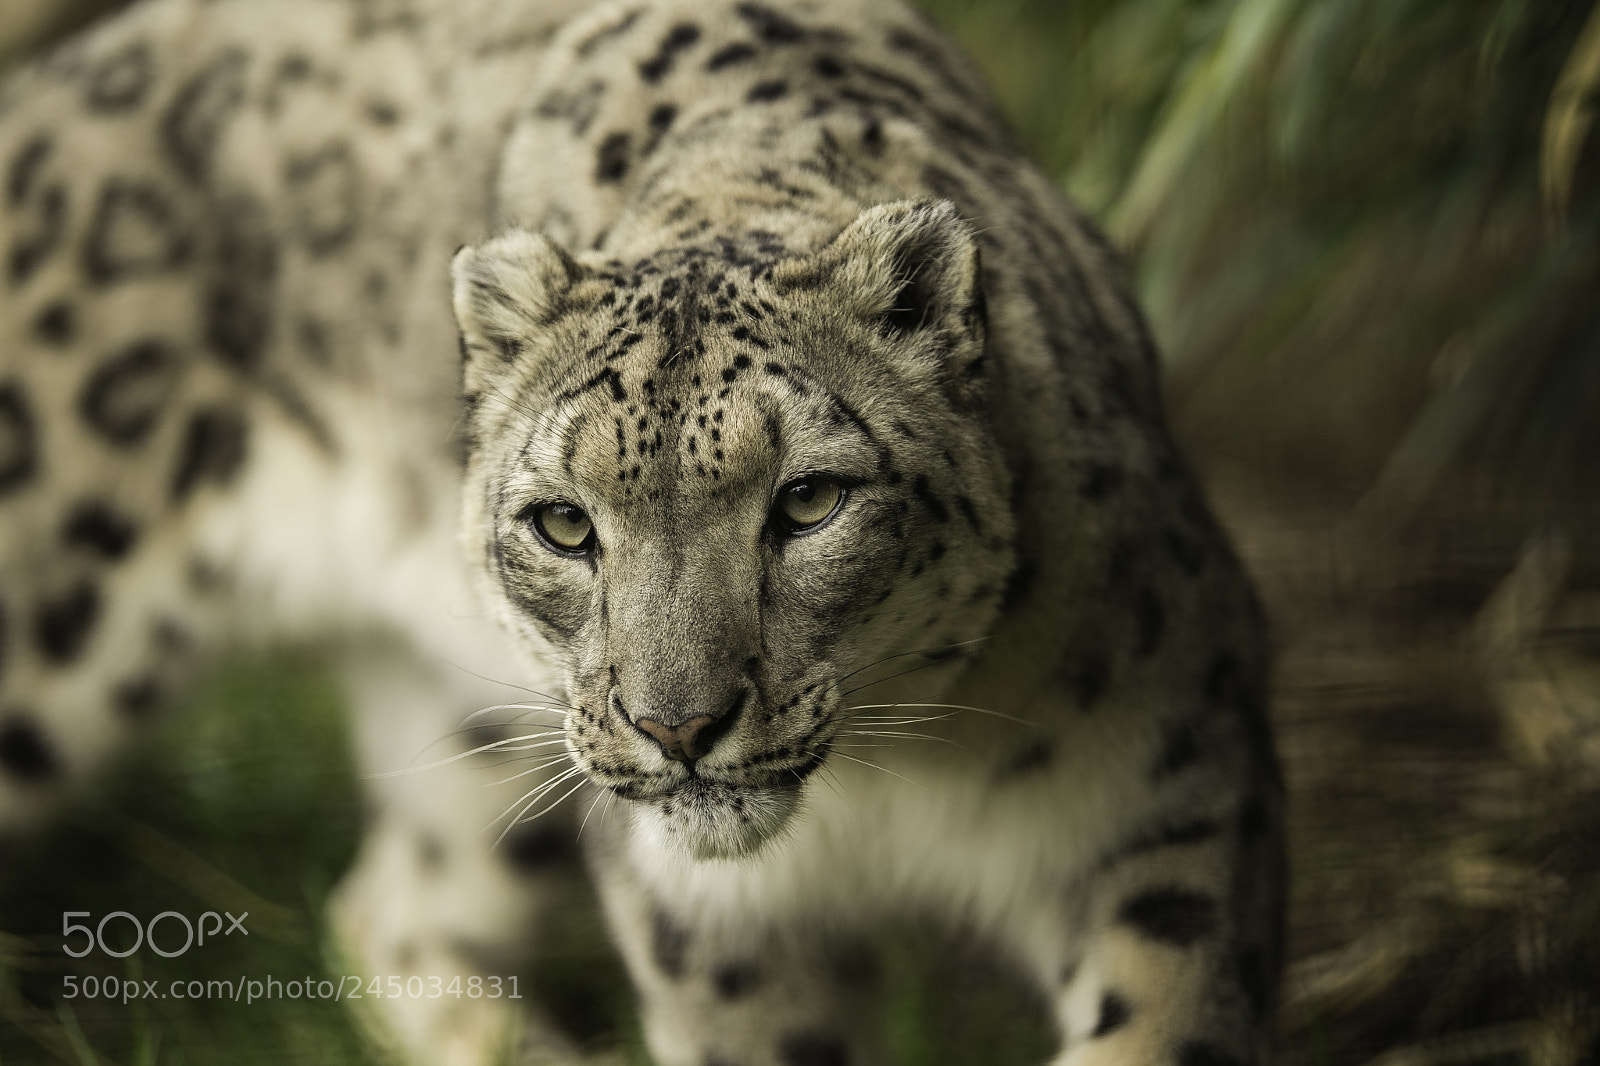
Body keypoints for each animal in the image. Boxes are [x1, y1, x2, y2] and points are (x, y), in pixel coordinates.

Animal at [0, 0, 1285, 1064]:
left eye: (808, 500)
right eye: (565, 523)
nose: (679, 726)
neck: (896, 779)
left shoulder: (1165, 792)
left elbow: (1165, 1015)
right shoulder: (708, 922)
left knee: (393, 905)